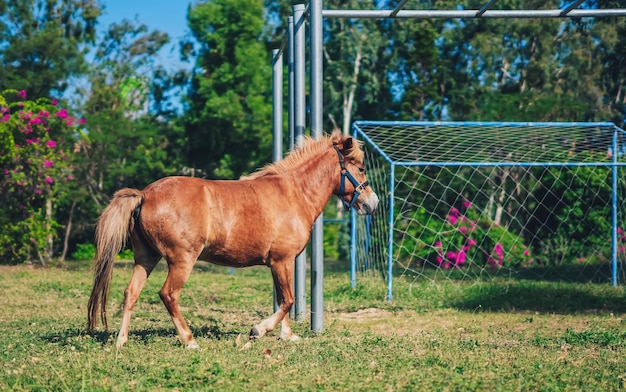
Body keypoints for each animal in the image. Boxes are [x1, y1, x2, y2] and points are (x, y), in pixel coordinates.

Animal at [85, 132, 378, 350]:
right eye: (361, 168)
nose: (372, 204)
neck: (293, 194)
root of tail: (145, 194)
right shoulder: (282, 261)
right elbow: (288, 300)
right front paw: (259, 330)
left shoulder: (278, 263)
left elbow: (283, 298)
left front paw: (287, 334)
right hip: (182, 260)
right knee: (168, 294)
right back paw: (189, 341)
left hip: (146, 258)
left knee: (131, 293)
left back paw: (121, 341)